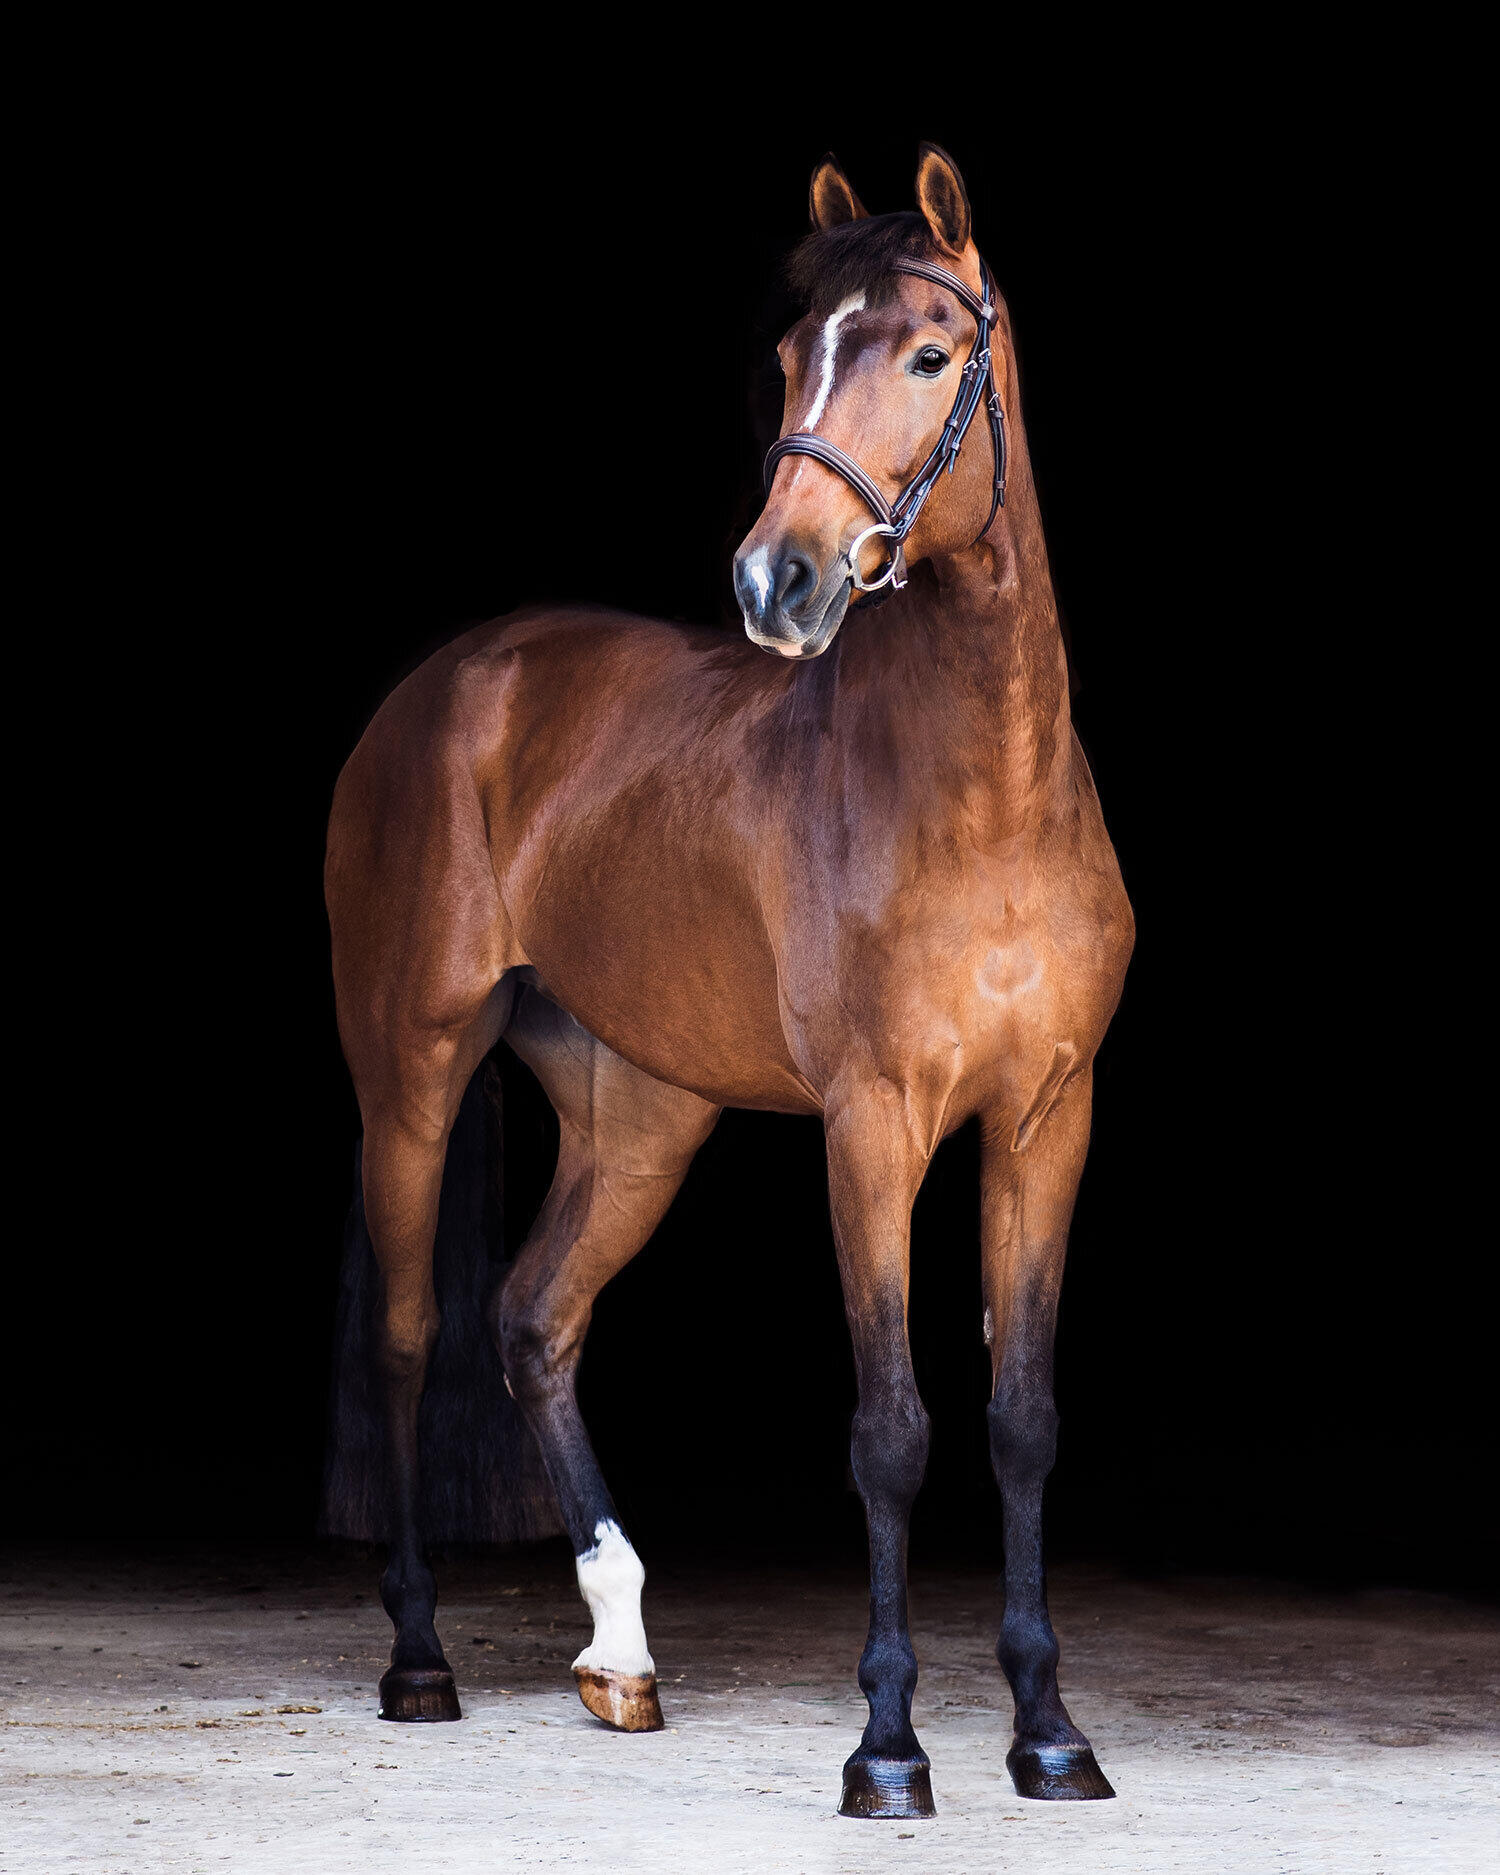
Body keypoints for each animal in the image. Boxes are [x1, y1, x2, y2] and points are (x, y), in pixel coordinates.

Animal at [324, 141, 1133, 1820]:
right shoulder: (874, 1126)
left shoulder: (1045, 1119)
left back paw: (622, 1650)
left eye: (931, 354)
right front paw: (888, 1747)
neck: (989, 796)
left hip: (642, 1114)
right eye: (790, 354)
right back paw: (420, 1655)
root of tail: (453, 681)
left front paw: (1048, 1732)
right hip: (411, 1072)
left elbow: (1022, 1418)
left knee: (535, 1316)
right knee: (414, 1339)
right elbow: (891, 1428)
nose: (779, 577)